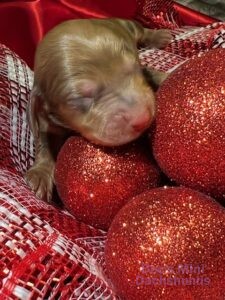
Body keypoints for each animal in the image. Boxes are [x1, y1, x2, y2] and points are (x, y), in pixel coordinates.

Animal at [25, 18, 172, 202]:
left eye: (134, 67)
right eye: (82, 99)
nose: (142, 118)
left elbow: (150, 73)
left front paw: (167, 77)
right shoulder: (46, 119)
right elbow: (44, 143)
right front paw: (40, 174)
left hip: (128, 25)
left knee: (141, 31)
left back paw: (159, 36)